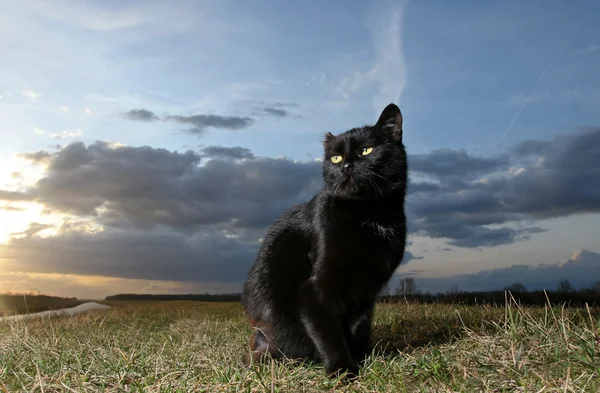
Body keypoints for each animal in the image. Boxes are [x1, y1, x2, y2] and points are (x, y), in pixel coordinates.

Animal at [239, 102, 408, 378]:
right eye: (335, 157)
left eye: (366, 150)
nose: (345, 167)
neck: (368, 213)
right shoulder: (316, 289)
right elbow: (329, 332)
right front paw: (342, 369)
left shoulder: (366, 293)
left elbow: (359, 328)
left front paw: (362, 359)